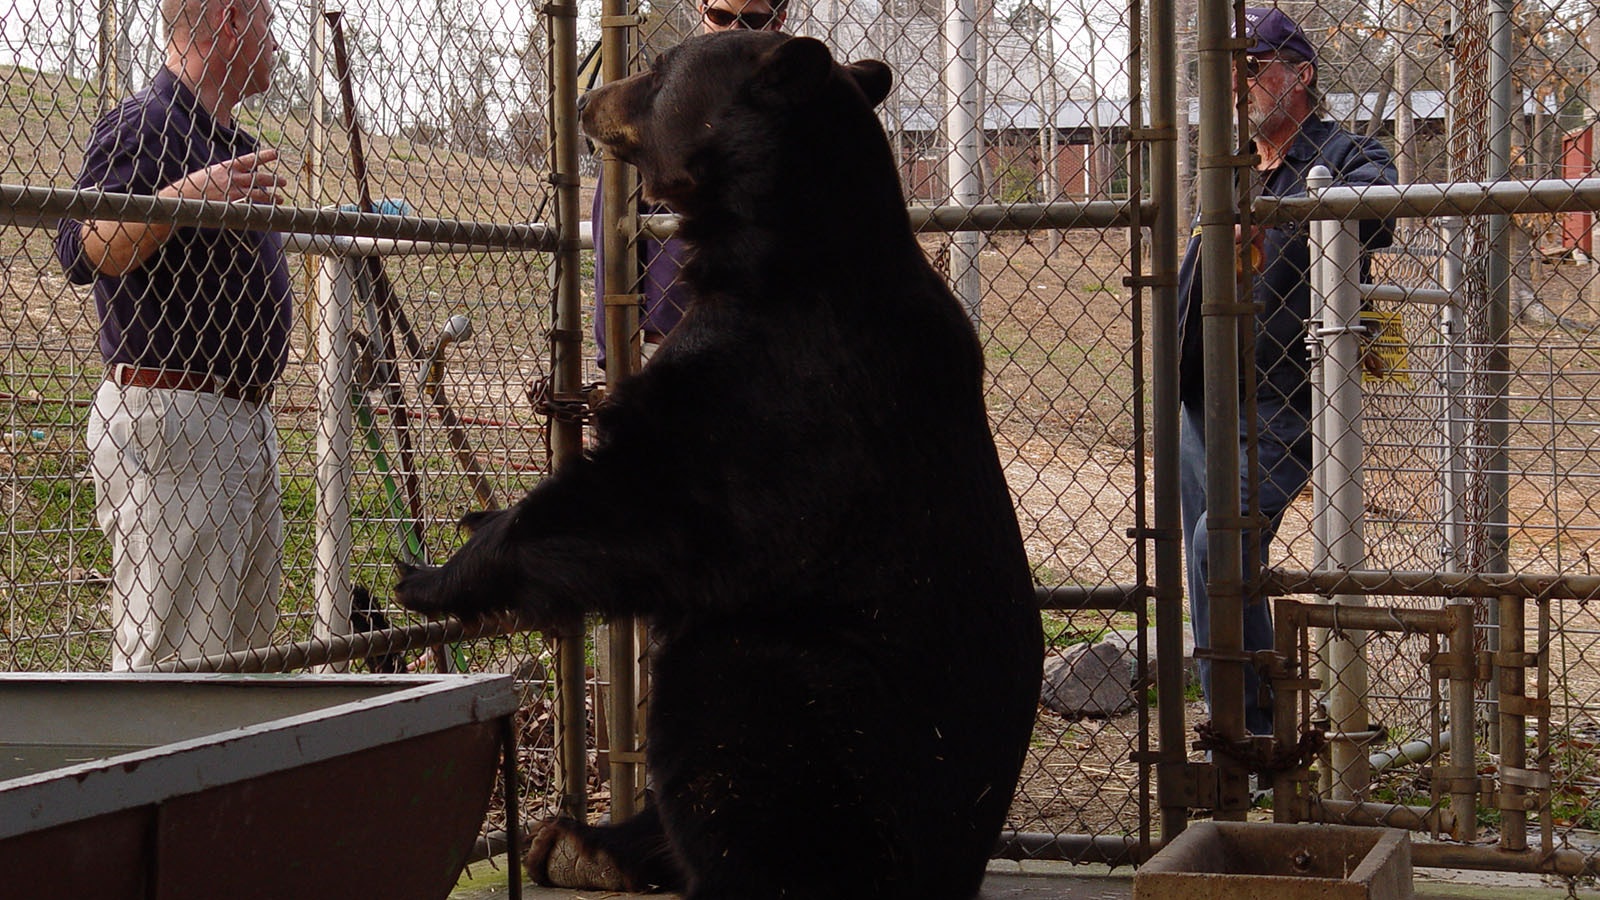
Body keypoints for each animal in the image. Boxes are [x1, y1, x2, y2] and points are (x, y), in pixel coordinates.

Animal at [393, 28, 1043, 896]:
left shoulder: (772, 387)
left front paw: (433, 572)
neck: (778, 245)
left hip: (824, 716)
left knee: (723, 719)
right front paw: (471, 516)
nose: (587, 97)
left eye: (661, 69)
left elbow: (652, 505)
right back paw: (585, 841)